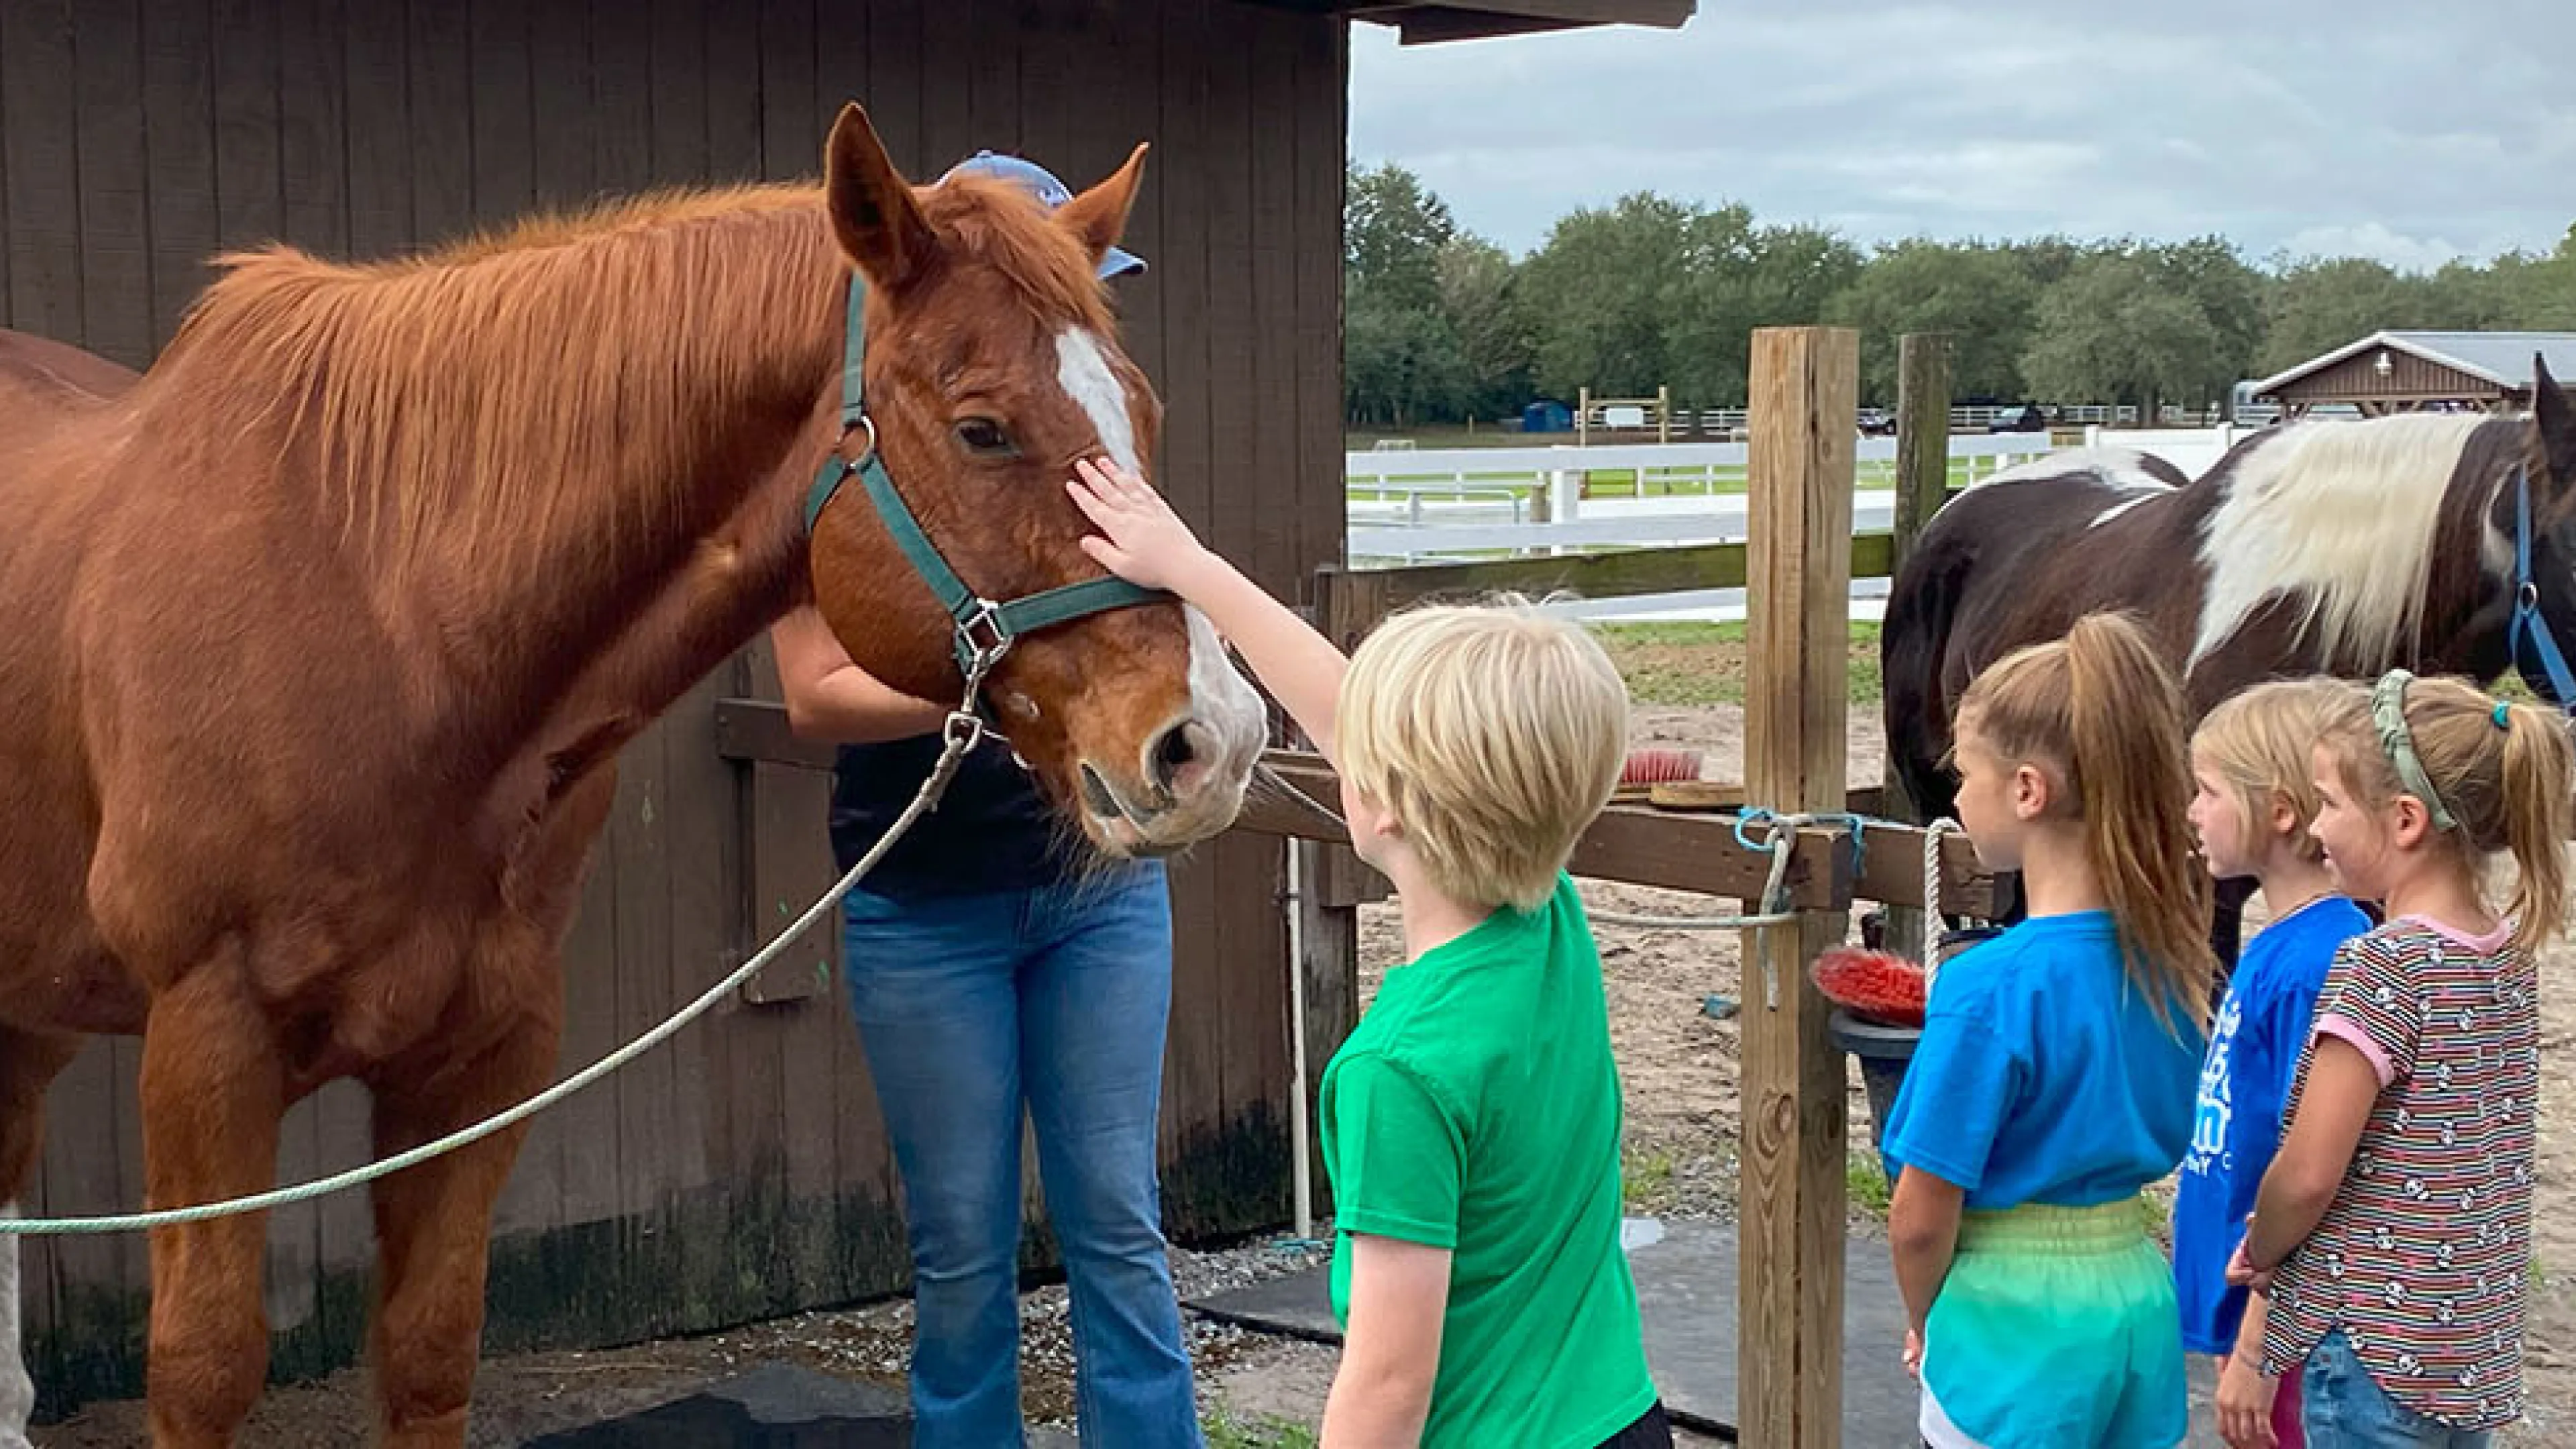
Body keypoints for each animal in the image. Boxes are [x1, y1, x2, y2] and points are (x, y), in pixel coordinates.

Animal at [0, 99, 1267, 1449]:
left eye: (1142, 413)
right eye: (984, 428)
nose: (1211, 740)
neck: (374, 611)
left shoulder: (488, 1056)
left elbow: (429, 1350)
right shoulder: (209, 1045)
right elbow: (201, 1366)